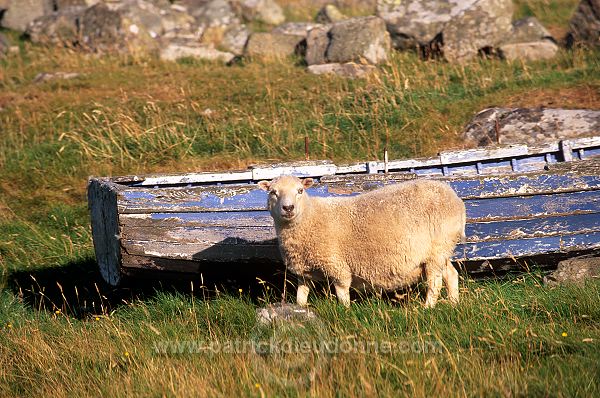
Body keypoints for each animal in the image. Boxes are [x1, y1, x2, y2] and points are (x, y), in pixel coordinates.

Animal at [255, 175, 466, 308]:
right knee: (451, 274)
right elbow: (301, 295)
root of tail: (455, 197)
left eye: (300, 190)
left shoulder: (337, 266)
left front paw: (346, 312)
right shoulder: (304, 271)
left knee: (435, 283)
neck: (309, 218)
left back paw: (428, 307)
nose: (288, 208)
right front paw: (300, 311)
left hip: (437, 249)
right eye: (273, 192)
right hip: (441, 251)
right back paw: (454, 303)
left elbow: (342, 293)